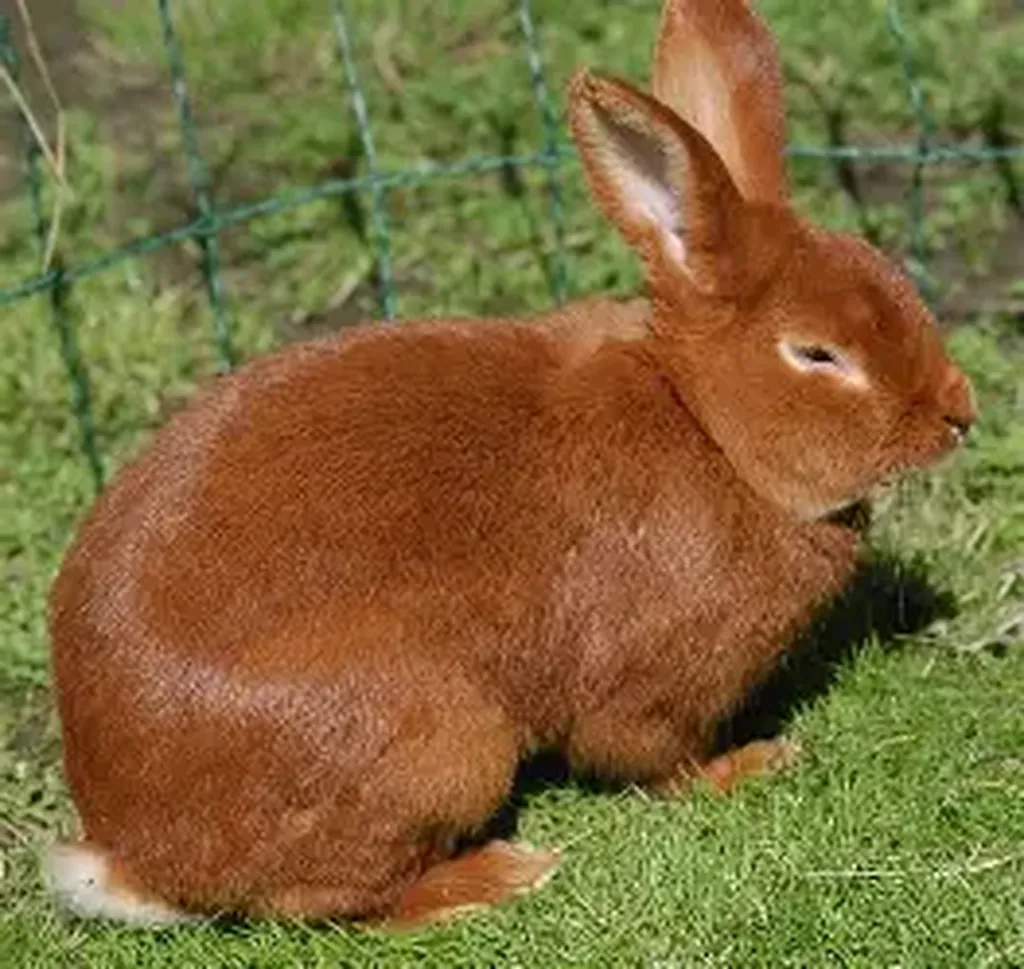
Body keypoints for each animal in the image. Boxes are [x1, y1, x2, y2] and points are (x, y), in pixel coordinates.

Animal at [46, 0, 976, 929]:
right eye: (817, 353)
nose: (959, 413)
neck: (703, 423)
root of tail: (136, 854)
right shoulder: (652, 693)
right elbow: (653, 760)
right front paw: (752, 764)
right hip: (443, 743)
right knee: (333, 902)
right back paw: (501, 874)